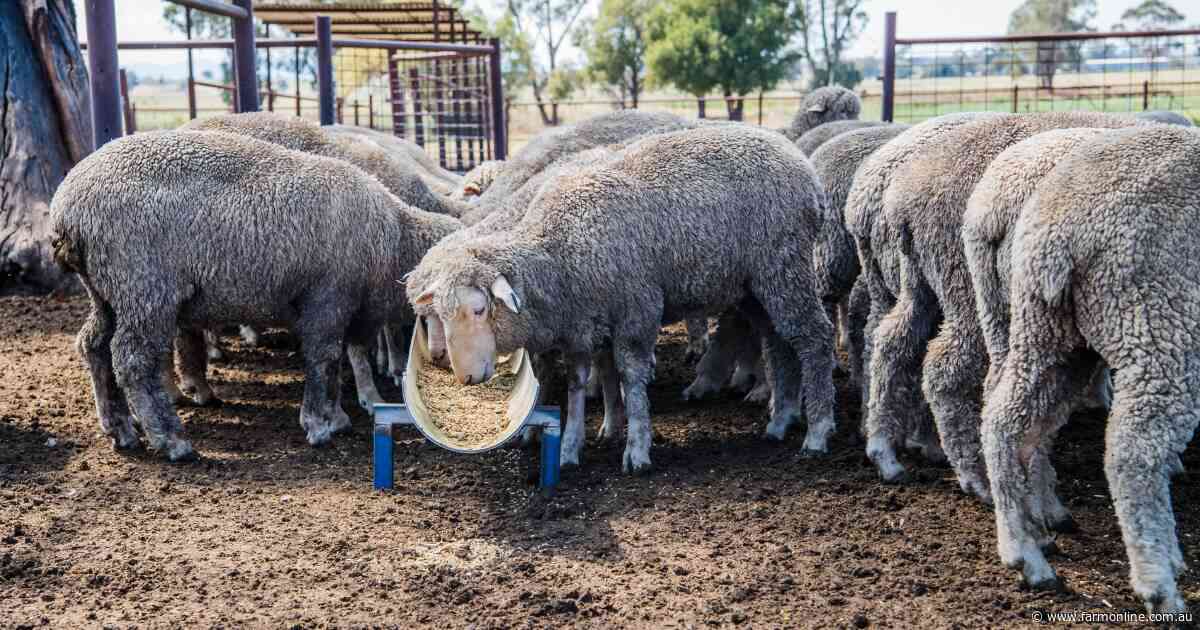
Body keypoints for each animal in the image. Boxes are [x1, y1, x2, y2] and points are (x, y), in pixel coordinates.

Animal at [50, 130, 461, 460]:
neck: (393, 239)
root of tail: (66, 207)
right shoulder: (328, 296)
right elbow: (323, 357)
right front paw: (319, 424)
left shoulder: (340, 306)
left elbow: (334, 360)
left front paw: (336, 416)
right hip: (144, 286)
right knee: (133, 360)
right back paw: (171, 441)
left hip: (106, 291)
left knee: (93, 346)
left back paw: (120, 429)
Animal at [407, 125, 834, 473]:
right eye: (440, 315)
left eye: (479, 309)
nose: (464, 376)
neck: (557, 250)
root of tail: (804, 168)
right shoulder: (581, 325)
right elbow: (578, 383)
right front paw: (571, 448)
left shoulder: (636, 310)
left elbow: (630, 375)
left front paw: (637, 448)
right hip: (754, 285)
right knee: (778, 341)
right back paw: (781, 419)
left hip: (784, 265)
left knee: (814, 337)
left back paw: (817, 430)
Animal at [864, 111, 1146, 500]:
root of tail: (901, 198)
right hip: (963, 284)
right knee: (944, 370)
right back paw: (975, 477)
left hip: (920, 281)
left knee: (892, 343)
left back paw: (885, 451)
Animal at [981, 125, 1200, 614]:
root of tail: (1058, 230)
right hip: (1159, 326)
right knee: (1131, 452)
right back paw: (1159, 584)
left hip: (1048, 332)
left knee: (1004, 422)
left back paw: (1025, 551)